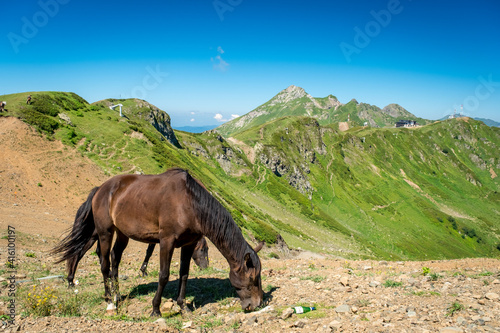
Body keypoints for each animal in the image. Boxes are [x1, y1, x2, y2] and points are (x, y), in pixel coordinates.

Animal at [53, 167, 266, 316]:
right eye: (252, 279)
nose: (256, 304)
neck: (189, 203)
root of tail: (101, 189)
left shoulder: (188, 244)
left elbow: (184, 274)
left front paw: (183, 306)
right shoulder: (166, 241)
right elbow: (163, 275)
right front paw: (155, 309)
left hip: (122, 234)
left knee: (115, 260)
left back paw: (117, 294)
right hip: (104, 233)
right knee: (104, 264)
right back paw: (109, 300)